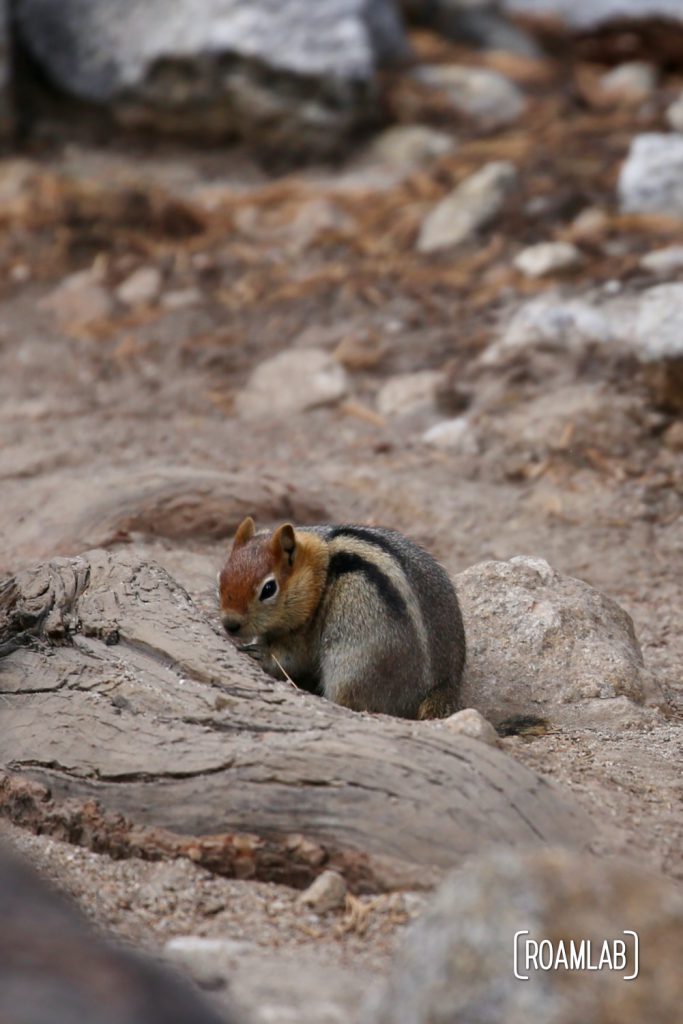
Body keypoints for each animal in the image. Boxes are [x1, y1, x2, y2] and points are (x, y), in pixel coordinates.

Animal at [219, 516, 464, 716]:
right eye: (221, 576)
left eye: (268, 589)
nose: (229, 624)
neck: (320, 573)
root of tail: (442, 686)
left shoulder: (306, 632)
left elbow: (291, 658)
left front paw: (260, 652)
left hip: (353, 666)